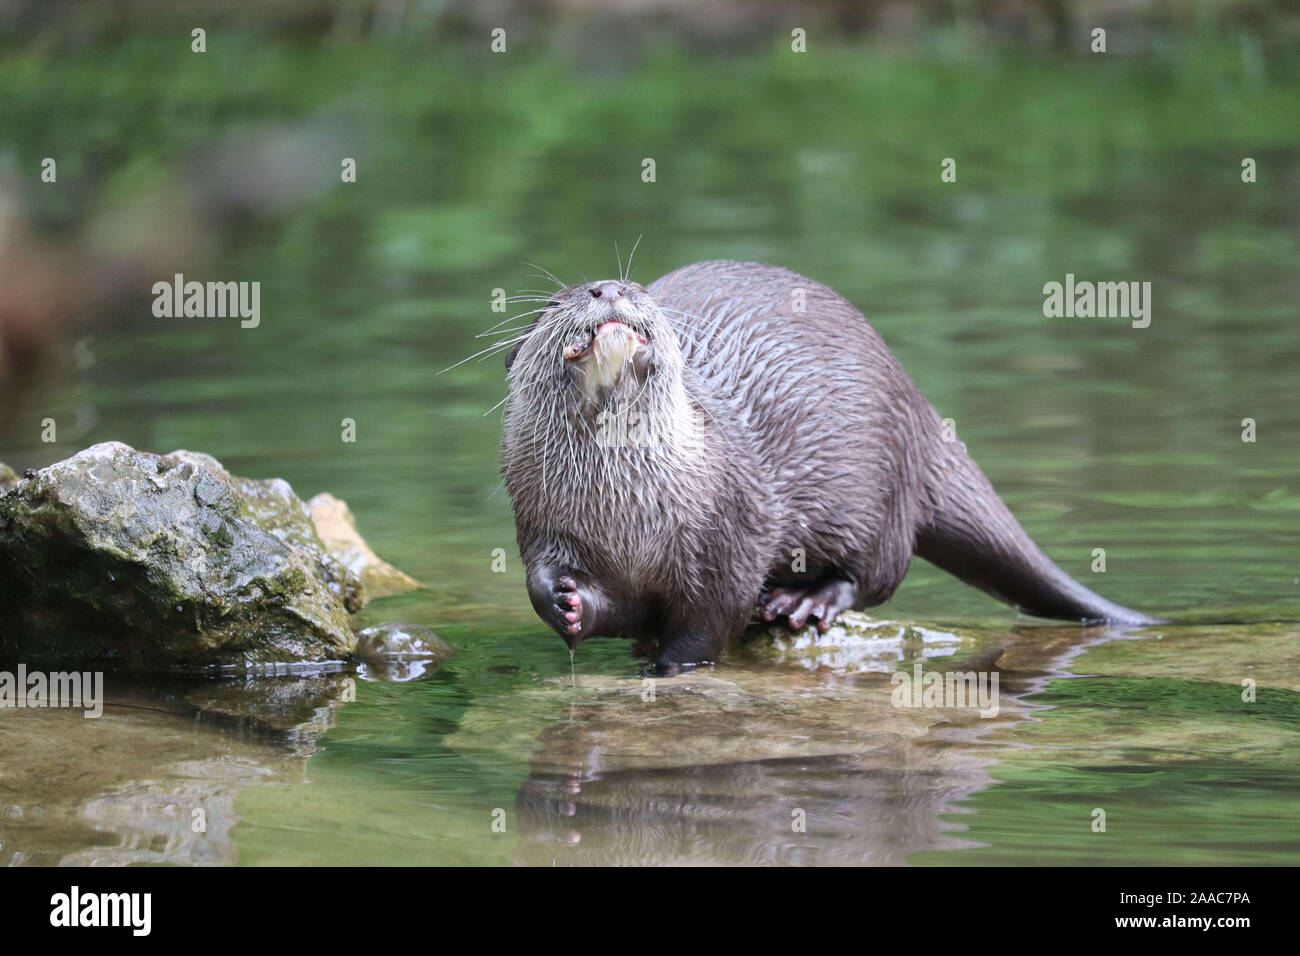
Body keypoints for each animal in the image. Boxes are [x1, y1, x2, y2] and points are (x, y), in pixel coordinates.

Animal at [501, 260, 1154, 673]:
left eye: (637, 288)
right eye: (557, 301)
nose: (608, 288)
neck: (627, 513)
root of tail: (918, 413)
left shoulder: (732, 530)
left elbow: (708, 621)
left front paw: (672, 670)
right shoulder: (539, 518)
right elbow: (566, 591)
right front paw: (566, 603)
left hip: (877, 494)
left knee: (878, 573)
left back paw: (807, 601)